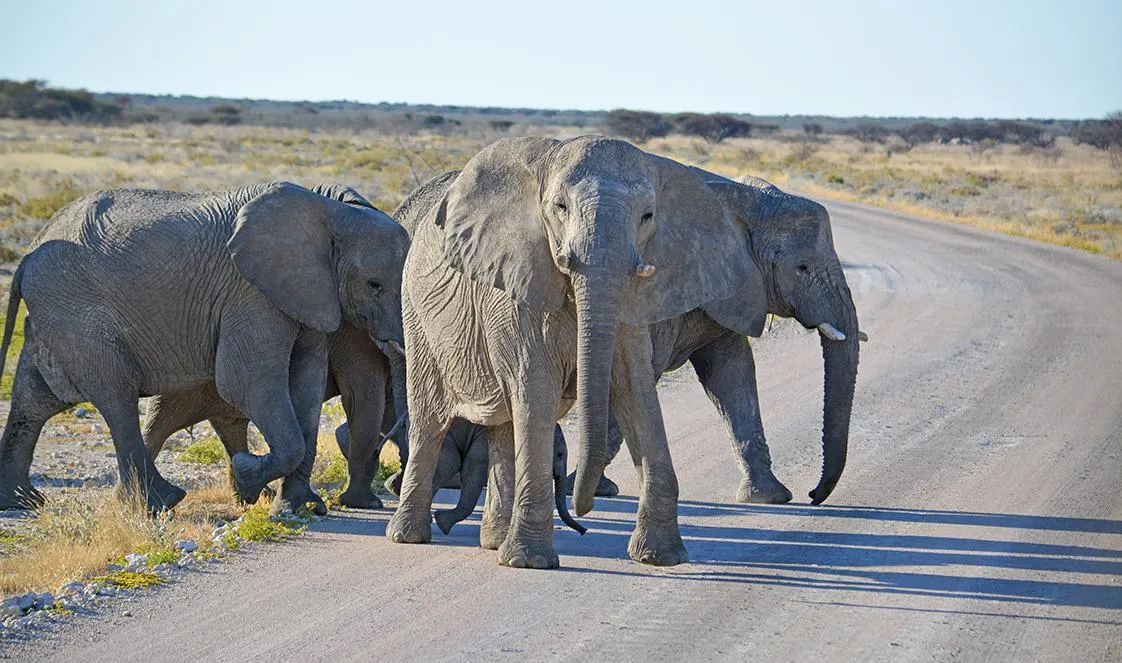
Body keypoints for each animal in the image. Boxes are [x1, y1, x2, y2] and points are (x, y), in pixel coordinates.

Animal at [0, 182, 410, 513]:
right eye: (374, 285)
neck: (332, 210)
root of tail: (29, 251)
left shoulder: (309, 296)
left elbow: (305, 383)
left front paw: (298, 507)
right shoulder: (251, 293)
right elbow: (247, 382)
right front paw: (247, 475)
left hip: (57, 312)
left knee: (36, 398)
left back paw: (21, 501)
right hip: (76, 311)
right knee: (115, 395)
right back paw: (162, 502)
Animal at [386, 136, 764, 568]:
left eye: (647, 216)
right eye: (560, 207)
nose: (584, 512)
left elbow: (634, 391)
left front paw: (660, 556)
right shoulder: (517, 286)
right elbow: (536, 389)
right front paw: (530, 562)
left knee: (504, 426)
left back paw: (494, 542)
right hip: (416, 315)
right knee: (429, 421)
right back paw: (409, 536)